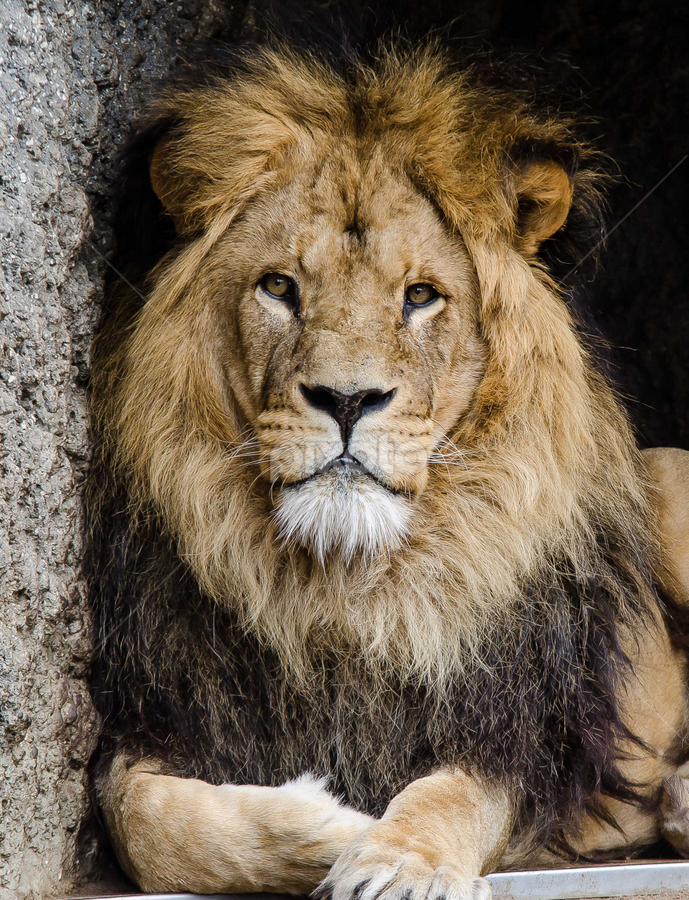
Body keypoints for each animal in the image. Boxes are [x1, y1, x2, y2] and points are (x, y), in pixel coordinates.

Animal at [86, 42, 689, 897]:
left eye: (420, 296)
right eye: (278, 287)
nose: (346, 399)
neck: (348, 587)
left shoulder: (518, 736)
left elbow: (449, 796)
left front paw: (398, 860)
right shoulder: (159, 718)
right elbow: (149, 824)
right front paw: (327, 827)